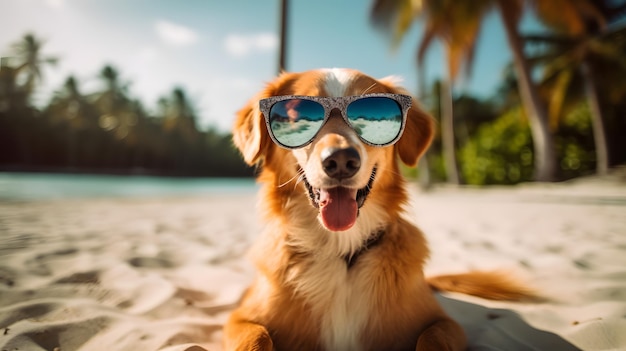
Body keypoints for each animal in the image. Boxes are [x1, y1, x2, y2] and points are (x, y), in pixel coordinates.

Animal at [224, 67, 532, 350]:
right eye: (297, 115)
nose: (341, 161)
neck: (342, 251)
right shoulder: (241, 319)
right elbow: (257, 337)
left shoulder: (444, 323)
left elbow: (433, 337)